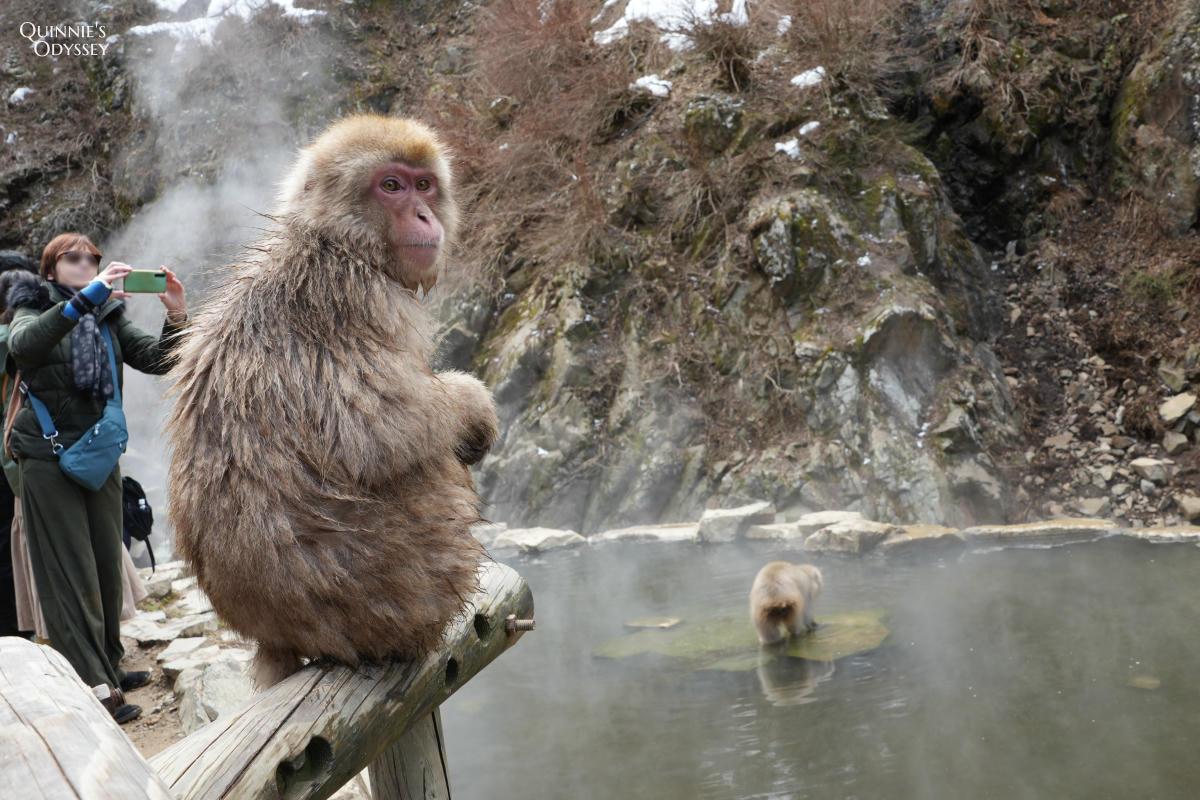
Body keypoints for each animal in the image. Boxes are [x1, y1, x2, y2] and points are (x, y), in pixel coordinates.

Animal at [166, 115, 499, 687]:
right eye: (392, 186)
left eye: (424, 184)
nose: (424, 214)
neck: (336, 244)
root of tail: (274, 633)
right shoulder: (366, 298)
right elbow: (382, 430)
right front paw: (474, 407)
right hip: (406, 584)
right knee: (425, 463)